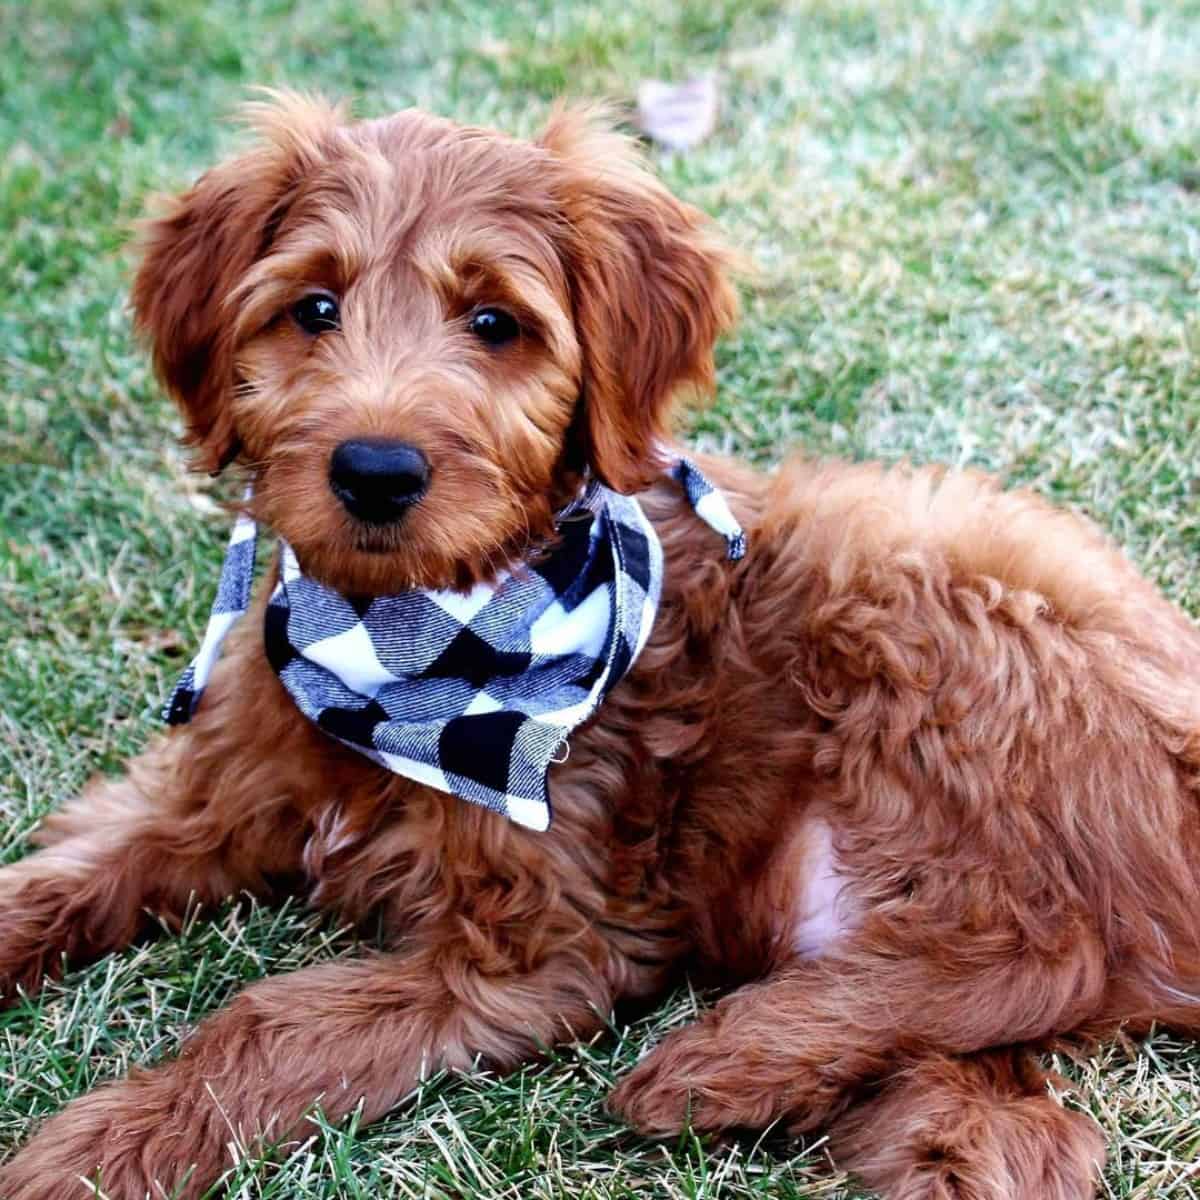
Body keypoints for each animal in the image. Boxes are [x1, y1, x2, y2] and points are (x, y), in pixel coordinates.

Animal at [2, 96, 1200, 1200]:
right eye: (314, 308)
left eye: (495, 322)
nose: (375, 471)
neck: (400, 651)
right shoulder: (202, 793)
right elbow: (57, 878)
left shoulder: (538, 949)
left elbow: (270, 1024)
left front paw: (97, 1149)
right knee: (1019, 1120)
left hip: (914, 563)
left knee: (1051, 950)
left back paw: (710, 1067)